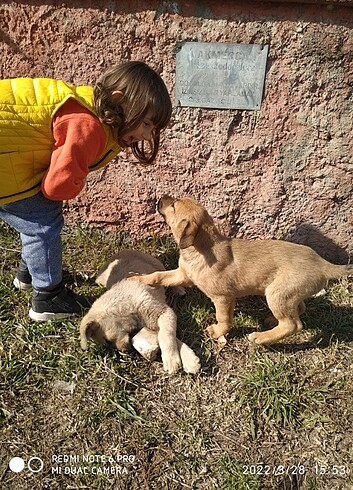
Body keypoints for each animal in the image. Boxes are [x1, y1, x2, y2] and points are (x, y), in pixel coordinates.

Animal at [130, 195, 352, 344]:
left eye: (174, 205)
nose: (160, 197)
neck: (202, 248)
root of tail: (324, 264)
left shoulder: (223, 298)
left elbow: (223, 318)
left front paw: (218, 332)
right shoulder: (182, 275)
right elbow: (158, 275)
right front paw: (137, 278)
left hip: (276, 293)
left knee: (293, 325)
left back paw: (261, 338)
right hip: (287, 294)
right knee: (299, 310)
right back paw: (271, 320)